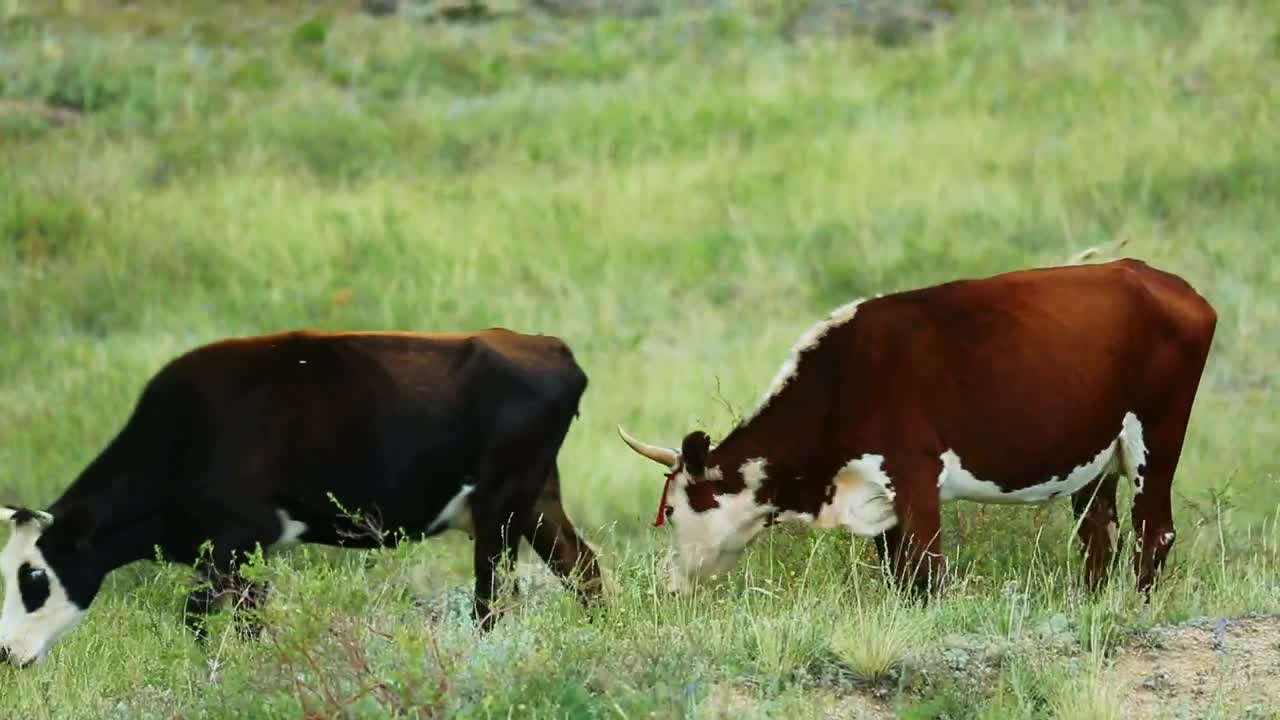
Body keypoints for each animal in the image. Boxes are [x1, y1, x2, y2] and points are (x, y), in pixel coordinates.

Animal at [0, 328, 602, 667]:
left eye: (34, 576)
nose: (5, 653)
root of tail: (547, 346)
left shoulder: (239, 536)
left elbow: (198, 614)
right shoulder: (244, 551)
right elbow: (246, 617)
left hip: (501, 505)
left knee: (493, 599)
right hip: (537, 501)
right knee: (584, 569)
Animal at [618, 258, 1216, 600]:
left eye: (674, 511)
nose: (670, 586)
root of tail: (1157, 277)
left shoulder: (915, 471)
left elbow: (927, 568)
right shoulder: (876, 497)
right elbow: (898, 573)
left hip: (1158, 436)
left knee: (1153, 532)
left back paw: (1132, 608)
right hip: (1095, 456)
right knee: (1099, 534)